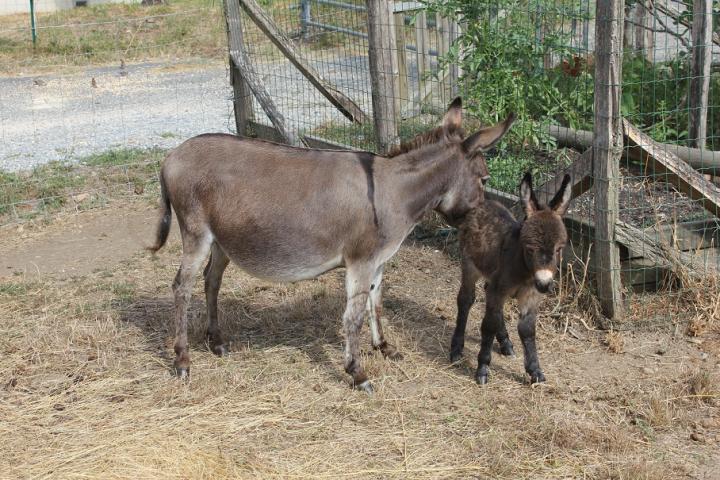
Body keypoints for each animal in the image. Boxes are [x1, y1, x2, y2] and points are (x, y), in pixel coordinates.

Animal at [452, 171, 572, 384]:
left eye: (559, 249)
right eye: (530, 249)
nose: (544, 284)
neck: (524, 270)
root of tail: (484, 202)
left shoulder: (530, 296)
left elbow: (527, 329)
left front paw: (535, 371)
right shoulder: (500, 289)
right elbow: (488, 325)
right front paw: (482, 368)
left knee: (490, 301)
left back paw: (506, 343)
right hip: (469, 265)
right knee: (466, 299)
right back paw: (457, 348)